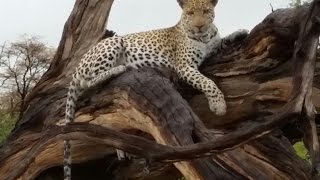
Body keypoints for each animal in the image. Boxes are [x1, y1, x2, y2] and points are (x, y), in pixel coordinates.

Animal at [62, 0, 248, 179]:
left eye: (206, 11)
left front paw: (240, 32)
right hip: (112, 43)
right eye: (190, 13)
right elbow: (206, 82)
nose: (199, 26)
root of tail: (78, 65)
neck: (204, 37)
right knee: (88, 81)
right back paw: (119, 68)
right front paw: (218, 106)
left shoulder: (212, 46)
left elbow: (222, 41)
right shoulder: (185, 66)